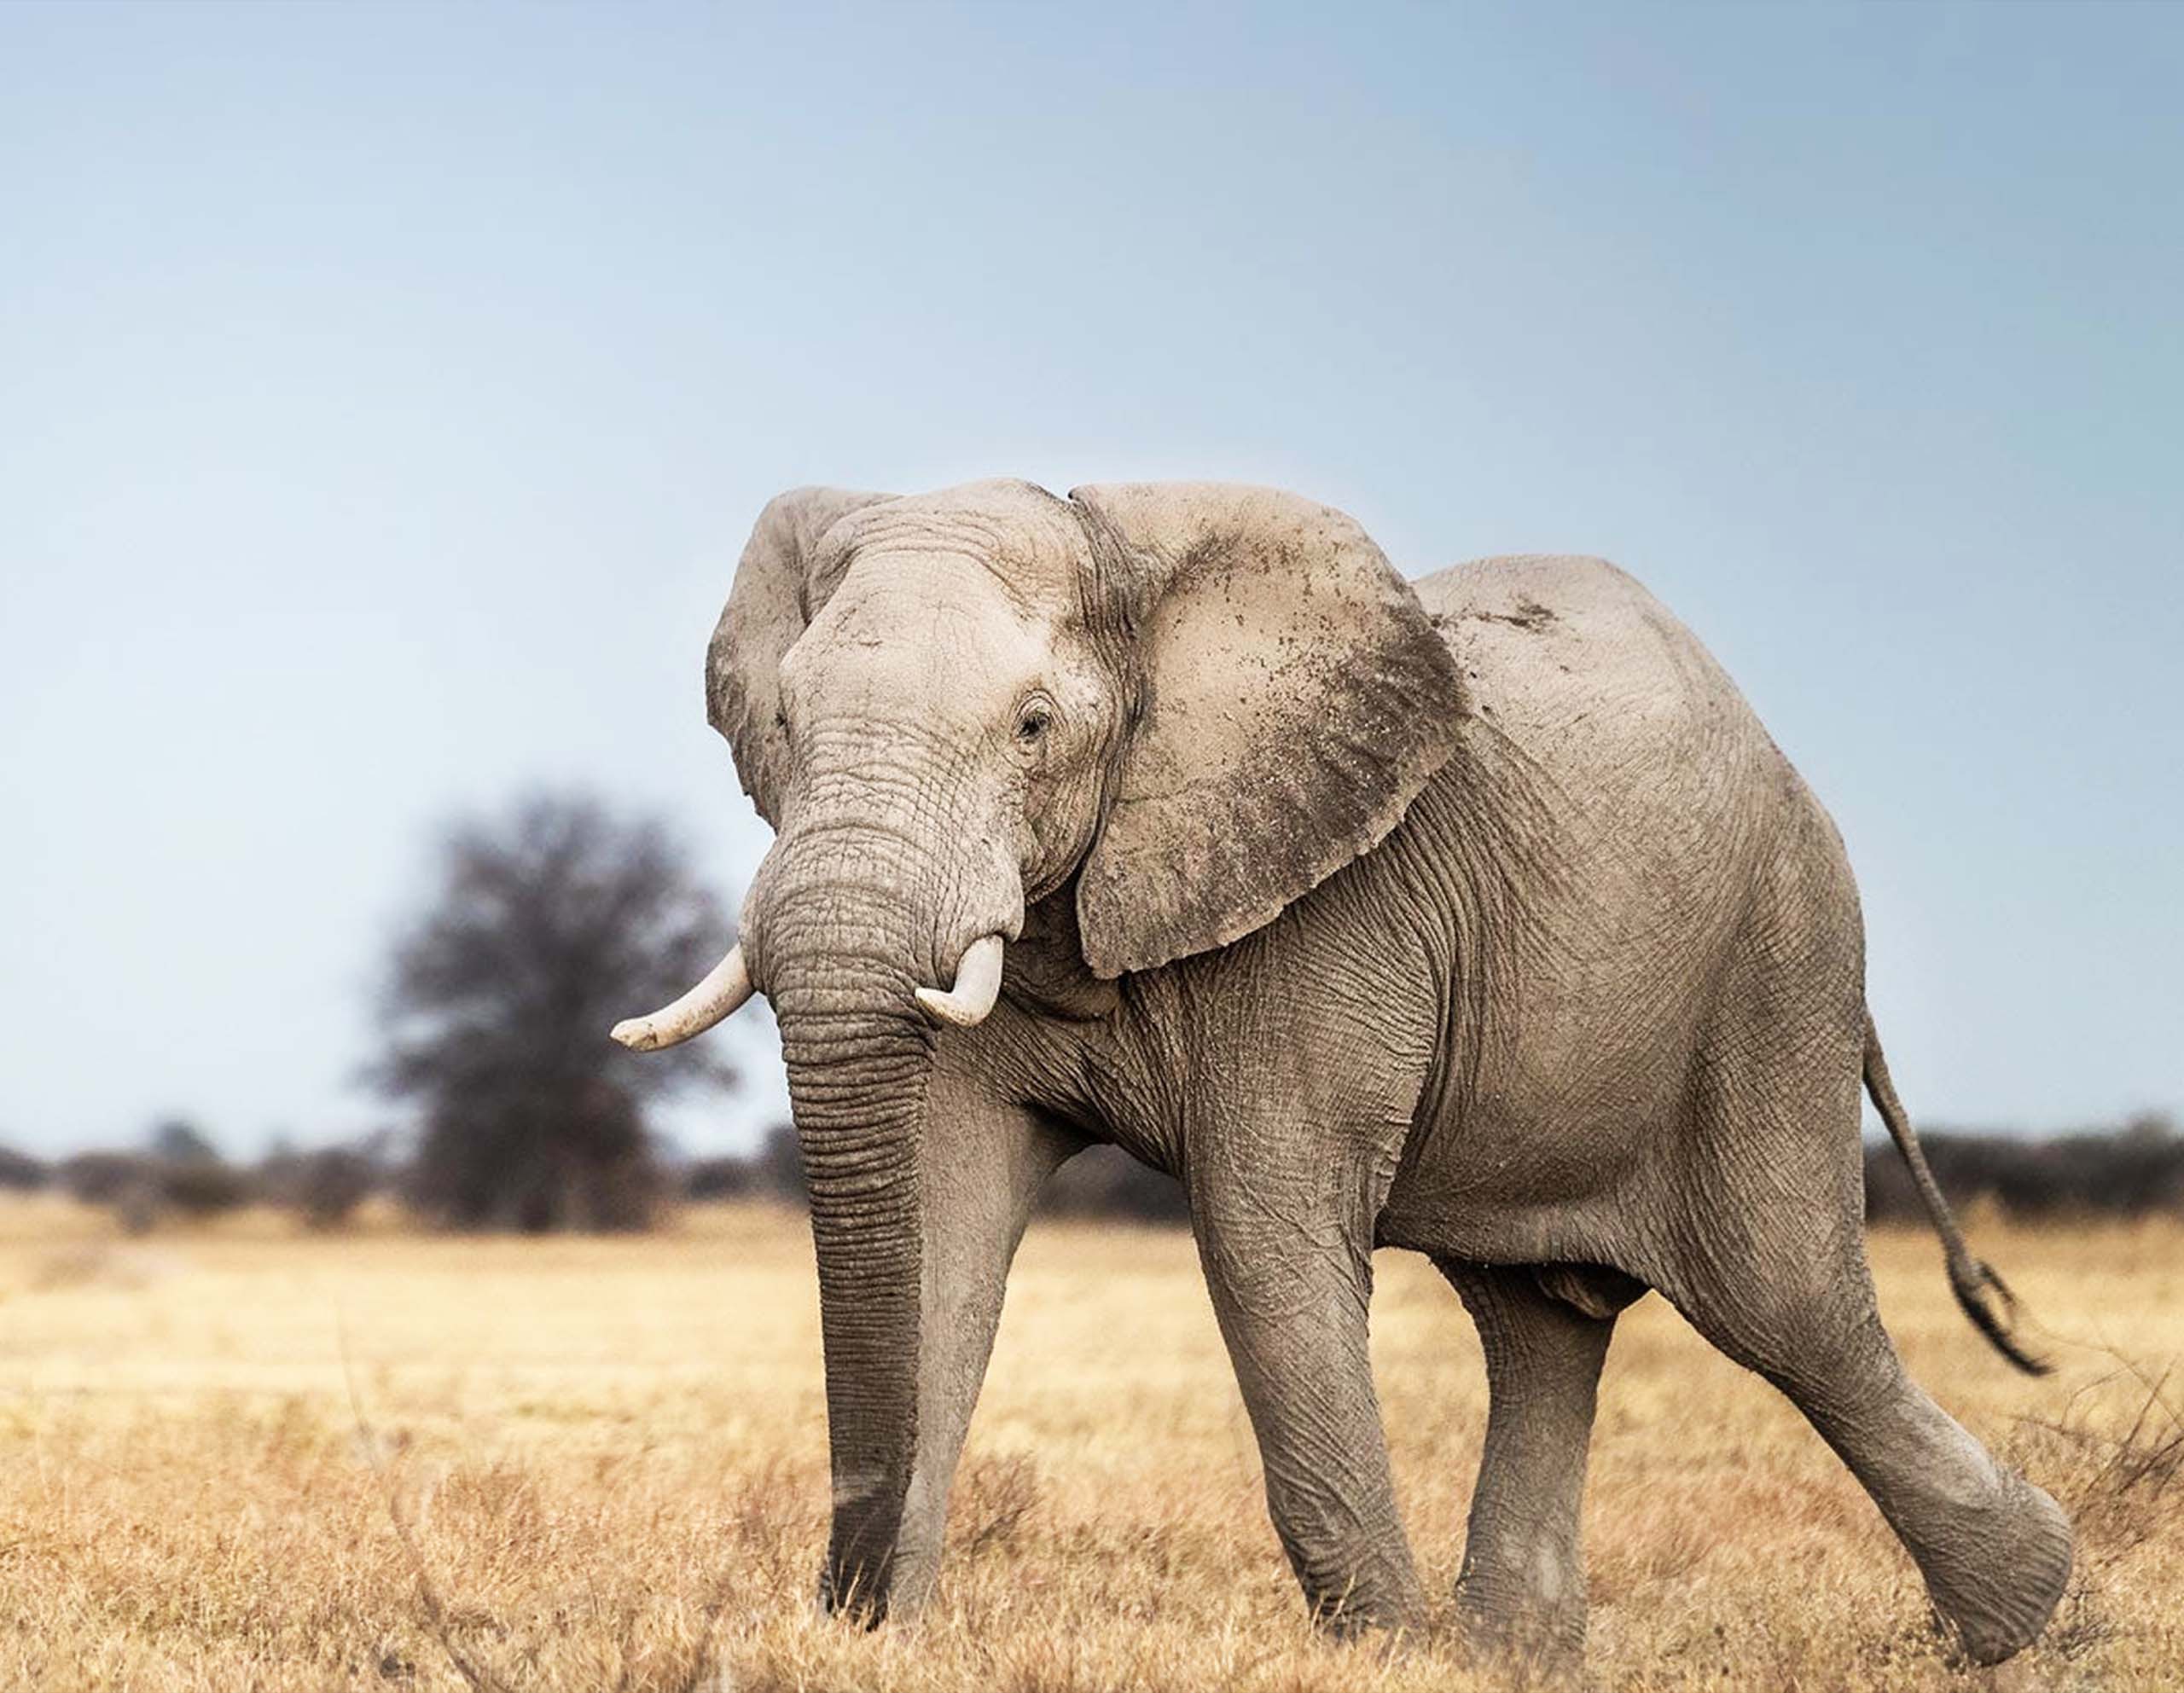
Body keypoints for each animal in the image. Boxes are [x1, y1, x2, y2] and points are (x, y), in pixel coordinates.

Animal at [613, 478, 2071, 1667]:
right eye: (785, 720)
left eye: (1032, 727)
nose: (840, 1607)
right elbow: (941, 1223)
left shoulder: (1331, 914)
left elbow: (1264, 1237)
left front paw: (1380, 1655)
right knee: (1545, 1322)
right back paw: (1511, 1659)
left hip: (1776, 967)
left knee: (1788, 1305)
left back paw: (2028, 1617)